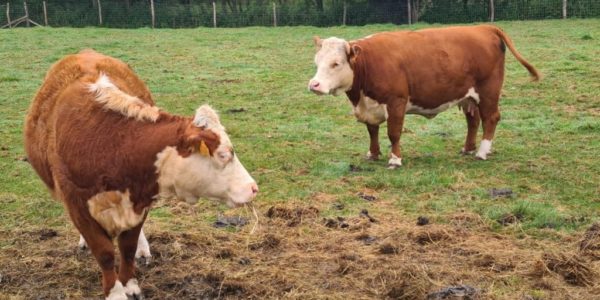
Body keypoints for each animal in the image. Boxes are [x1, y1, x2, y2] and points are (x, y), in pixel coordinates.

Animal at [24, 50, 258, 298]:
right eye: (223, 155)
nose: (253, 188)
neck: (111, 143)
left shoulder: (140, 197)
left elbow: (128, 246)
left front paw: (130, 285)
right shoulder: (77, 205)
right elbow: (104, 252)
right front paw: (115, 292)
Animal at [310, 24, 540, 169]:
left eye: (336, 63)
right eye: (317, 61)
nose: (314, 85)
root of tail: (483, 27)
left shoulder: (396, 101)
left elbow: (394, 133)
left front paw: (395, 160)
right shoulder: (370, 106)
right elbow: (372, 131)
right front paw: (373, 154)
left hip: (488, 92)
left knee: (491, 118)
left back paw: (482, 152)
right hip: (468, 97)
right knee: (473, 121)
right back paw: (467, 149)